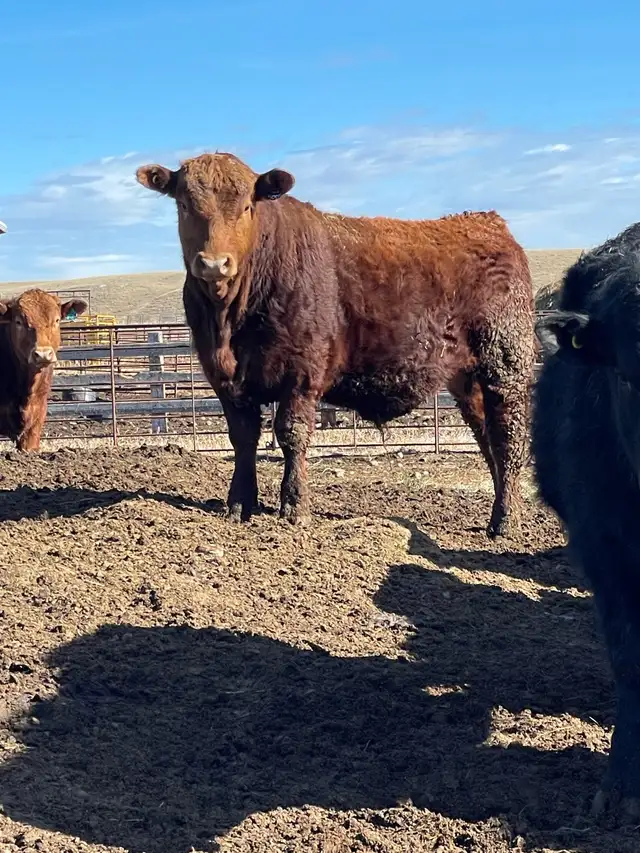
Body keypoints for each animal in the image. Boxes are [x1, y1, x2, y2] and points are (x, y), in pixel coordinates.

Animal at [136, 152, 535, 536]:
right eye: (184, 204)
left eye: (248, 206)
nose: (214, 264)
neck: (230, 323)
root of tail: (487, 223)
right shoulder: (224, 379)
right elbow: (243, 438)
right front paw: (239, 505)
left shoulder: (301, 372)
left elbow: (292, 434)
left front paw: (294, 508)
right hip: (467, 379)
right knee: (487, 437)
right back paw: (500, 511)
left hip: (505, 365)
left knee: (508, 437)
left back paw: (506, 522)